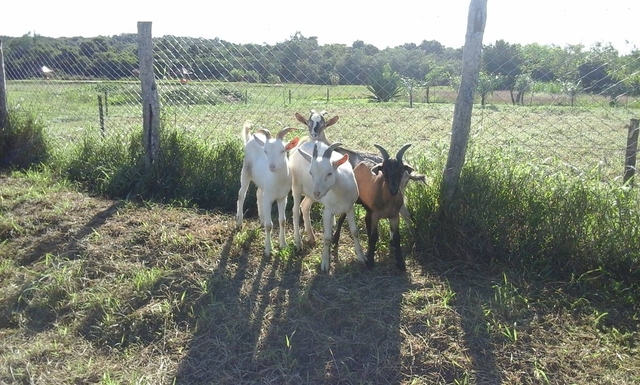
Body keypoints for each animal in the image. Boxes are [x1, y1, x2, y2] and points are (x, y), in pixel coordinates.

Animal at [238, 121, 300, 256]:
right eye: (265, 151)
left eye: (282, 150)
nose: (271, 166)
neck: (278, 182)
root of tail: (251, 139)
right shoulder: (268, 199)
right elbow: (269, 225)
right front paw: (268, 249)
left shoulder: (282, 197)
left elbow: (282, 221)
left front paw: (283, 244)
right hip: (245, 170)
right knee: (241, 194)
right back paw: (239, 222)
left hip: (262, 185)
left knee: (258, 193)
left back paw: (261, 219)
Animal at [288, 140, 364, 272]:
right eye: (311, 173)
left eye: (329, 173)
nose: (317, 193)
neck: (340, 193)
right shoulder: (327, 211)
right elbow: (327, 238)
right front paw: (324, 263)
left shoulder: (350, 207)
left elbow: (354, 231)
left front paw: (361, 257)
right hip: (296, 186)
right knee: (295, 212)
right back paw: (298, 243)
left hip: (310, 194)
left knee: (305, 206)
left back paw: (311, 237)